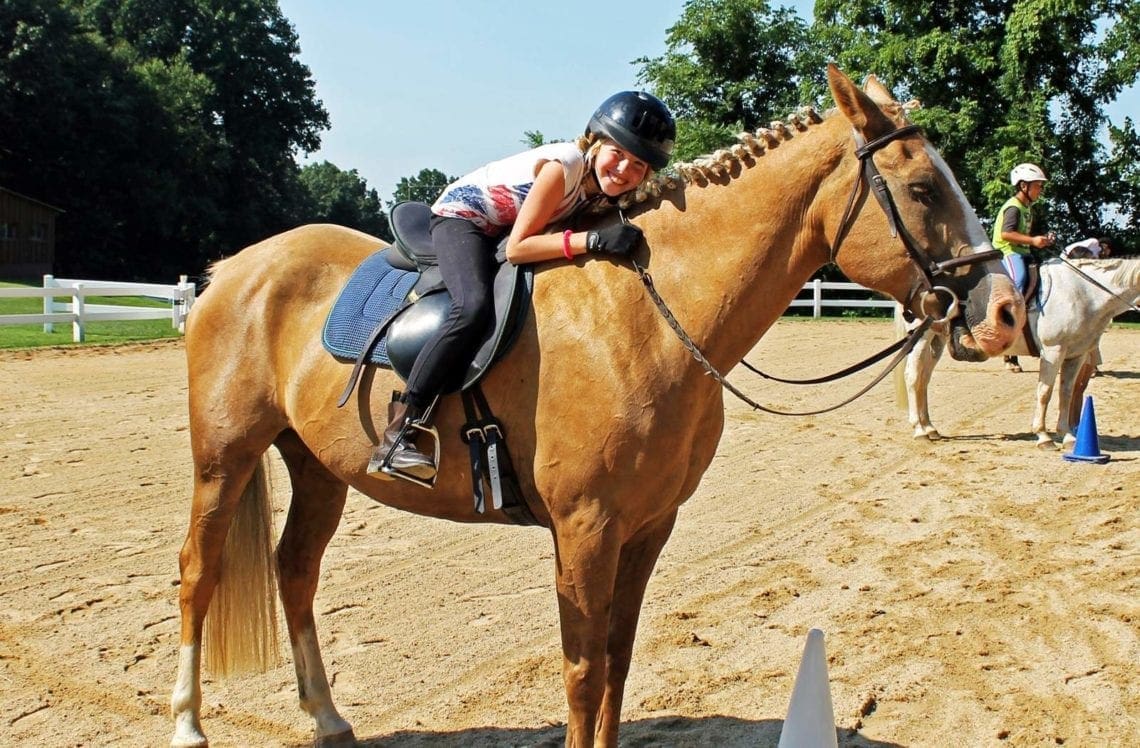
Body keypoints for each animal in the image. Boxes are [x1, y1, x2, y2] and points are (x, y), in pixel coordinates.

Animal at [175, 65, 1026, 748]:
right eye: (922, 188)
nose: (1006, 313)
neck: (649, 314)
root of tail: (233, 269)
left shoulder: (648, 525)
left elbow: (617, 661)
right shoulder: (585, 529)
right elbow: (584, 673)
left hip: (318, 465)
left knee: (295, 571)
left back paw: (326, 717)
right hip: (224, 458)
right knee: (198, 571)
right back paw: (188, 724)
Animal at [898, 255, 1140, 444]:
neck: (1083, 293)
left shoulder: (1076, 354)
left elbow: (1066, 392)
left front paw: (1067, 435)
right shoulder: (1053, 351)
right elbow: (1045, 392)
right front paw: (1043, 435)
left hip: (938, 341)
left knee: (923, 380)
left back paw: (930, 427)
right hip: (922, 338)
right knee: (913, 377)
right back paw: (919, 430)